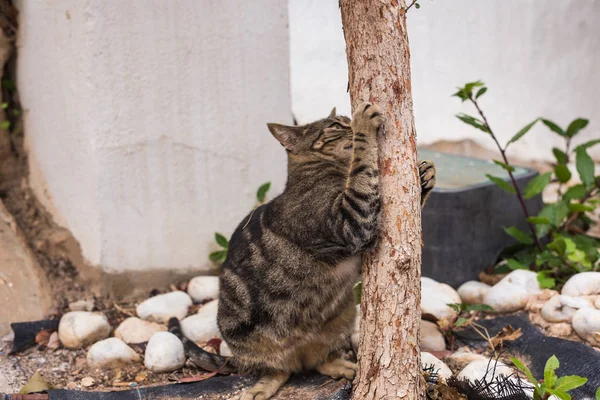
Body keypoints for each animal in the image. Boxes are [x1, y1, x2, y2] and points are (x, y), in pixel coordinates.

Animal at [169, 103, 436, 400]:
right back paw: (261, 387)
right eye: (336, 125)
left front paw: (426, 174)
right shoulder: (351, 220)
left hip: (342, 316)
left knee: (321, 360)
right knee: (276, 370)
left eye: (343, 121)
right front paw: (363, 125)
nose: (349, 122)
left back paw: (342, 366)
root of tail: (300, 354)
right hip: (245, 340)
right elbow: (363, 166)